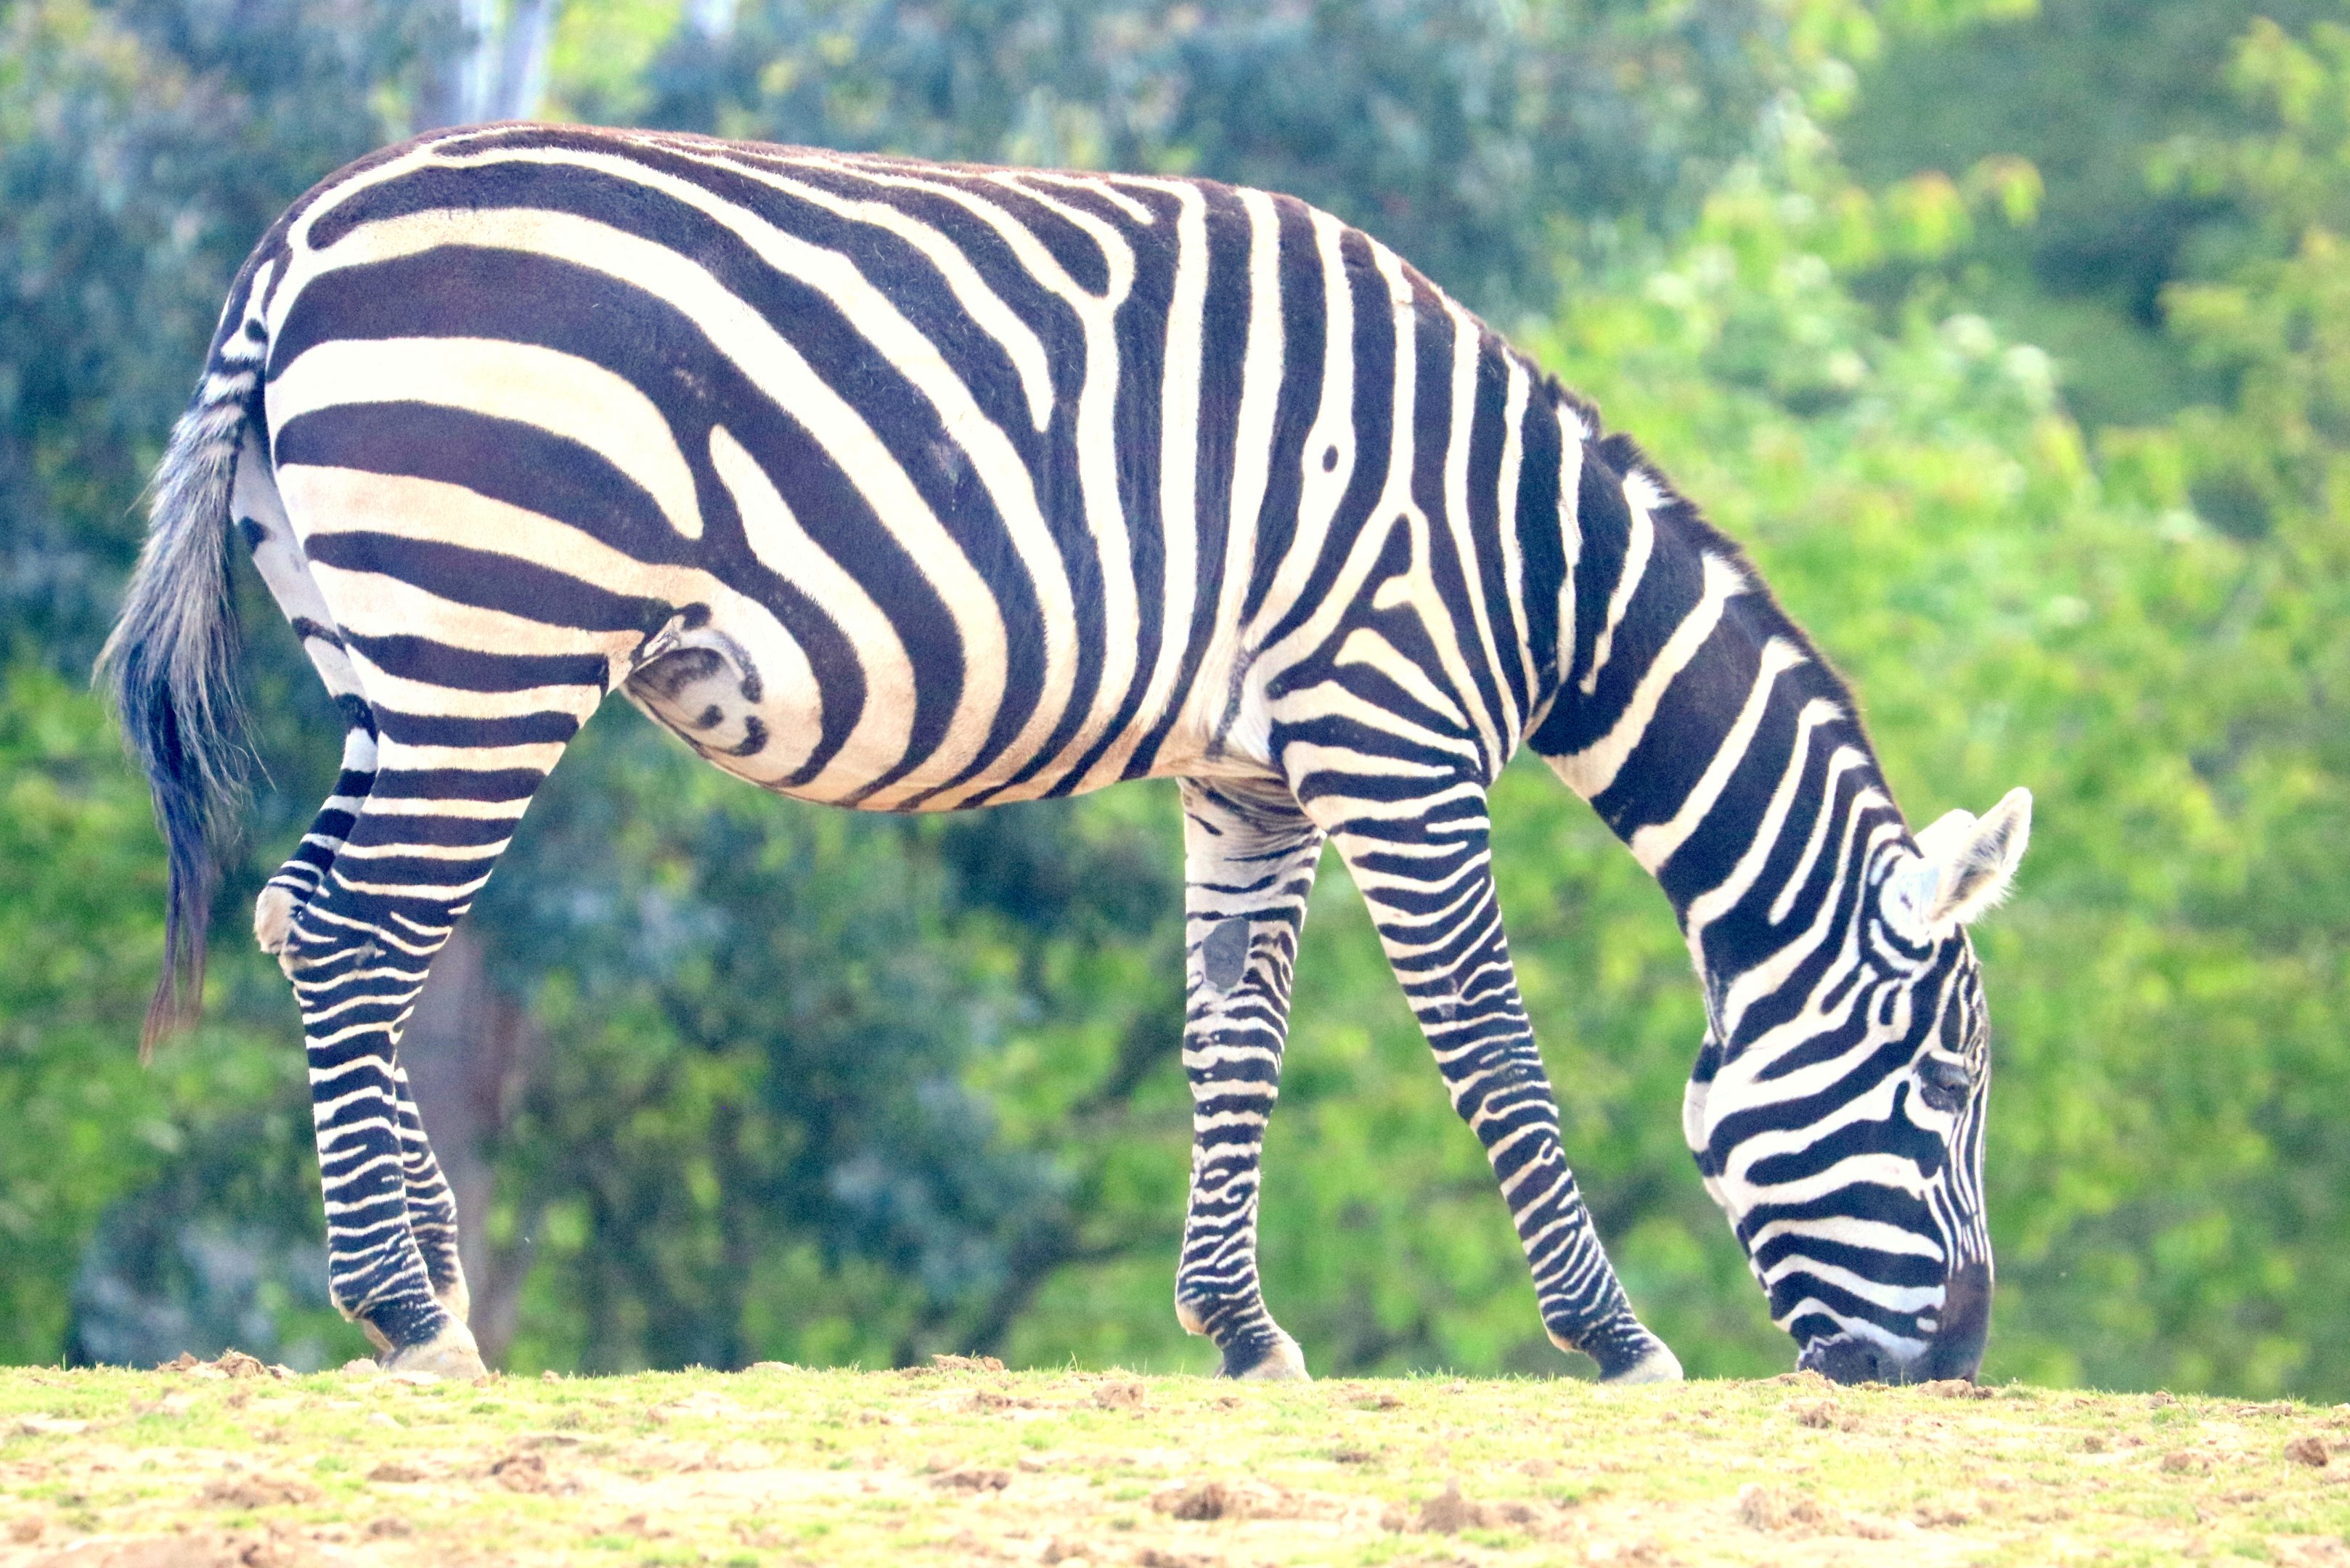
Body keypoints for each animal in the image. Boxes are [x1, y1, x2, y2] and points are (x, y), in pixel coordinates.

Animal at [101, 122, 2031, 1385]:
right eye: (1943, 1087)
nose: (1956, 1363)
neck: (1529, 559)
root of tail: (296, 239)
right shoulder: (1393, 735)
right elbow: (1492, 1049)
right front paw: (1616, 1341)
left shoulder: (1252, 773)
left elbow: (1232, 1042)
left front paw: (1240, 1332)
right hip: (493, 627)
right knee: (359, 928)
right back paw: (412, 1313)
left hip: (388, 644)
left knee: (305, 917)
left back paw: (417, 1285)